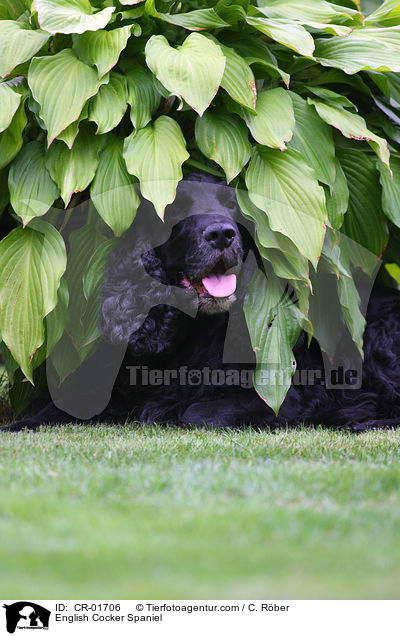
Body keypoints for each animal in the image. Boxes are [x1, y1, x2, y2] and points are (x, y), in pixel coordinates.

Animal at [3, 174, 400, 432]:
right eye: (176, 207)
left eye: (233, 206)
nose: (222, 234)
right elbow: (52, 408)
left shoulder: (287, 392)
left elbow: (193, 413)